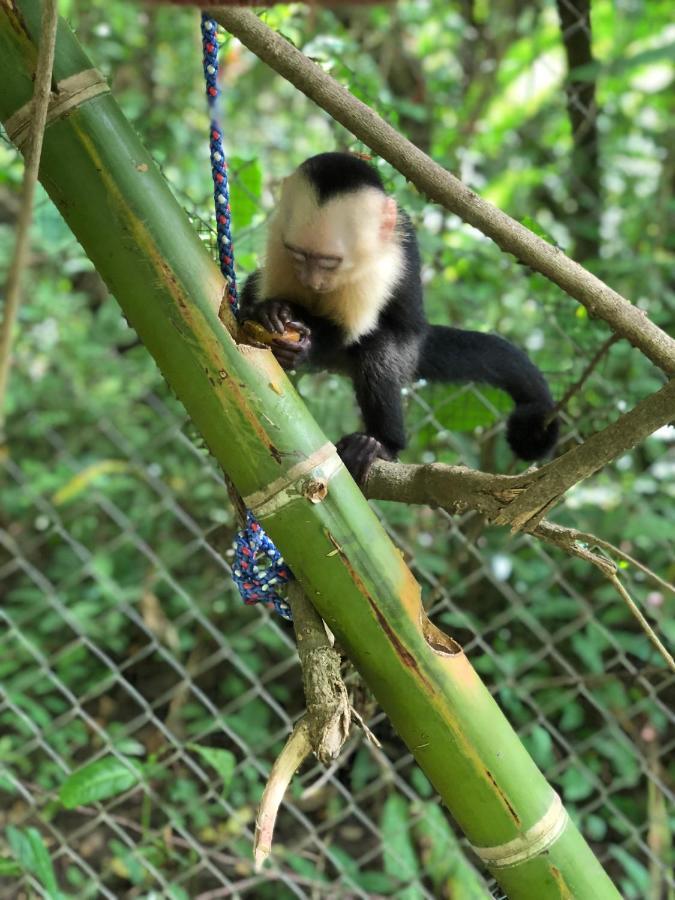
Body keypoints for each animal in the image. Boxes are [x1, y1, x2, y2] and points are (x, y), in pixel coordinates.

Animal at [243, 153, 560, 486]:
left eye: (330, 262)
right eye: (299, 255)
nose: (312, 282)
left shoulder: (382, 261)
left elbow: (348, 331)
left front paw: (305, 343)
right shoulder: (279, 242)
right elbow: (267, 291)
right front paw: (269, 311)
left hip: (406, 352)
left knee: (380, 349)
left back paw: (381, 443)